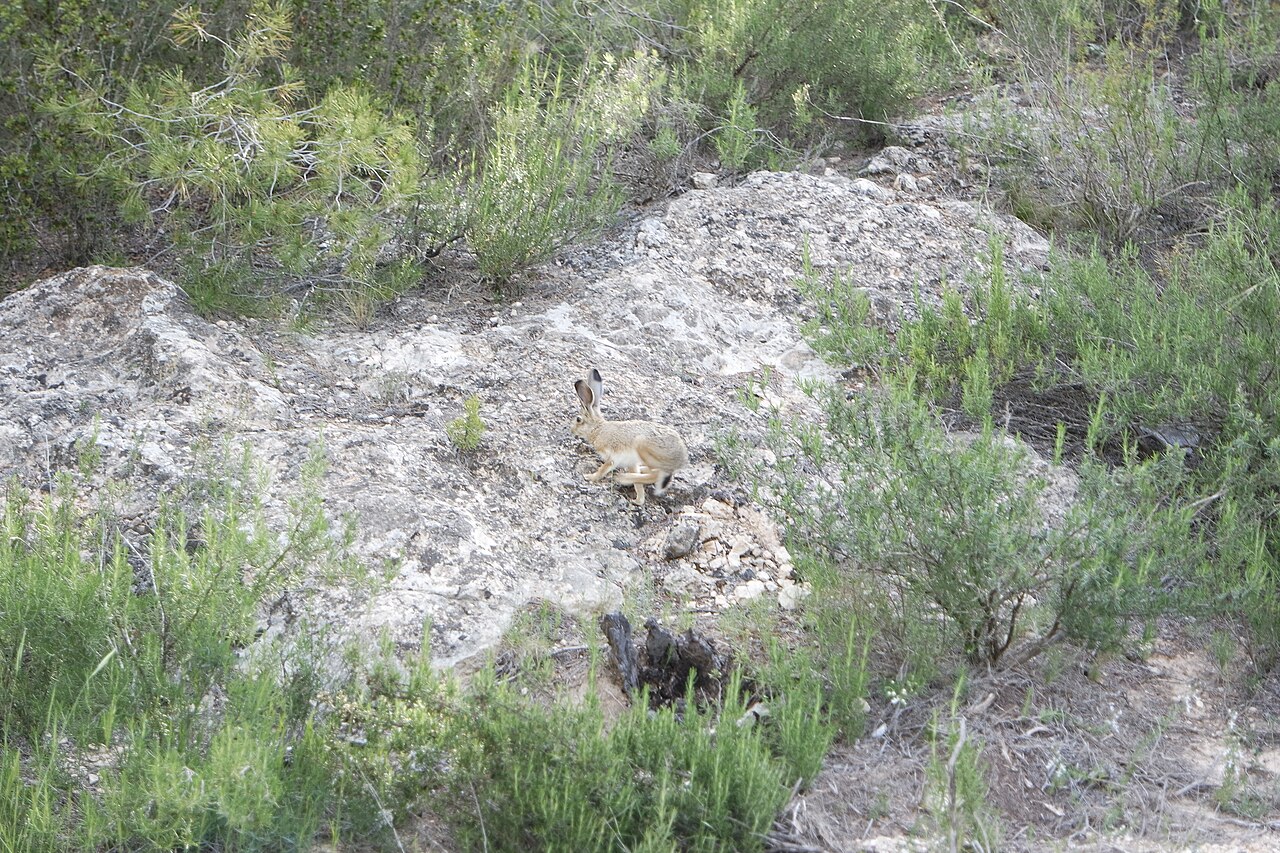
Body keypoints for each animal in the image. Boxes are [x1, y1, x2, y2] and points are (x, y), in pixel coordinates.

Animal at [571, 367, 688, 506]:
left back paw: (624, 478)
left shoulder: (612, 457)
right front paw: (638, 500)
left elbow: (603, 469)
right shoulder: (631, 462)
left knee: (656, 474)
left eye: (578, 419)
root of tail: (682, 458)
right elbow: (639, 488)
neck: (598, 429)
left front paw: (590, 477)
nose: (572, 430)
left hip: (644, 447)